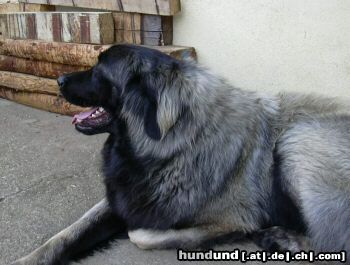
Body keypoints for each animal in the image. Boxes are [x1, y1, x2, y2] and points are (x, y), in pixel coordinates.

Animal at [10, 44, 350, 262]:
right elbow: (66, 234)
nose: (59, 79)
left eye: (99, 71)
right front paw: (28, 259)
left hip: (296, 139)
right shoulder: (123, 196)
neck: (172, 146)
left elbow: (140, 234)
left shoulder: (231, 218)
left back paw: (283, 239)